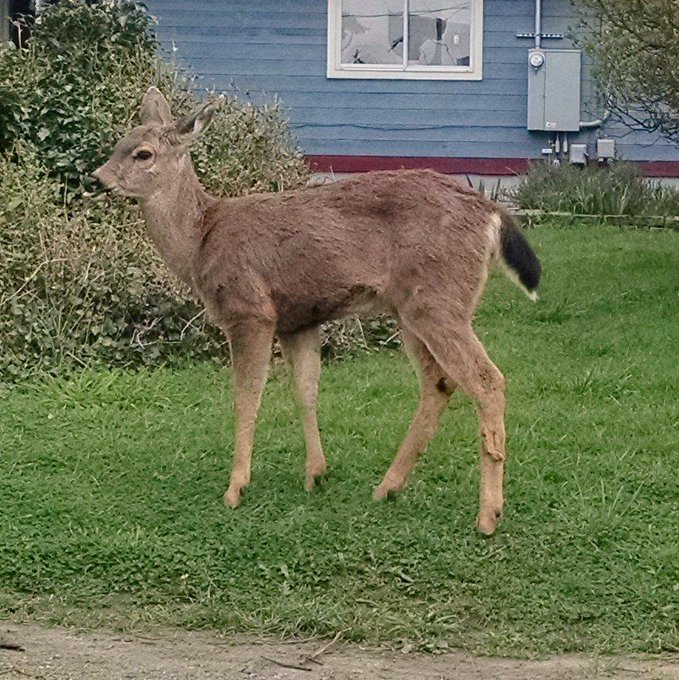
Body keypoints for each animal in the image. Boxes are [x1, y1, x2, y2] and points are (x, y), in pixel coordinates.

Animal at [92, 87, 541, 535]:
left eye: (143, 154)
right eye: (118, 143)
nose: (97, 179)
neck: (200, 240)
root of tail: (492, 214)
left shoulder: (250, 310)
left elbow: (246, 397)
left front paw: (236, 487)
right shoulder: (299, 320)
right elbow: (305, 392)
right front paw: (316, 473)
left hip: (437, 299)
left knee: (487, 381)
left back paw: (488, 514)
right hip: (412, 308)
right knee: (440, 382)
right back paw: (388, 487)